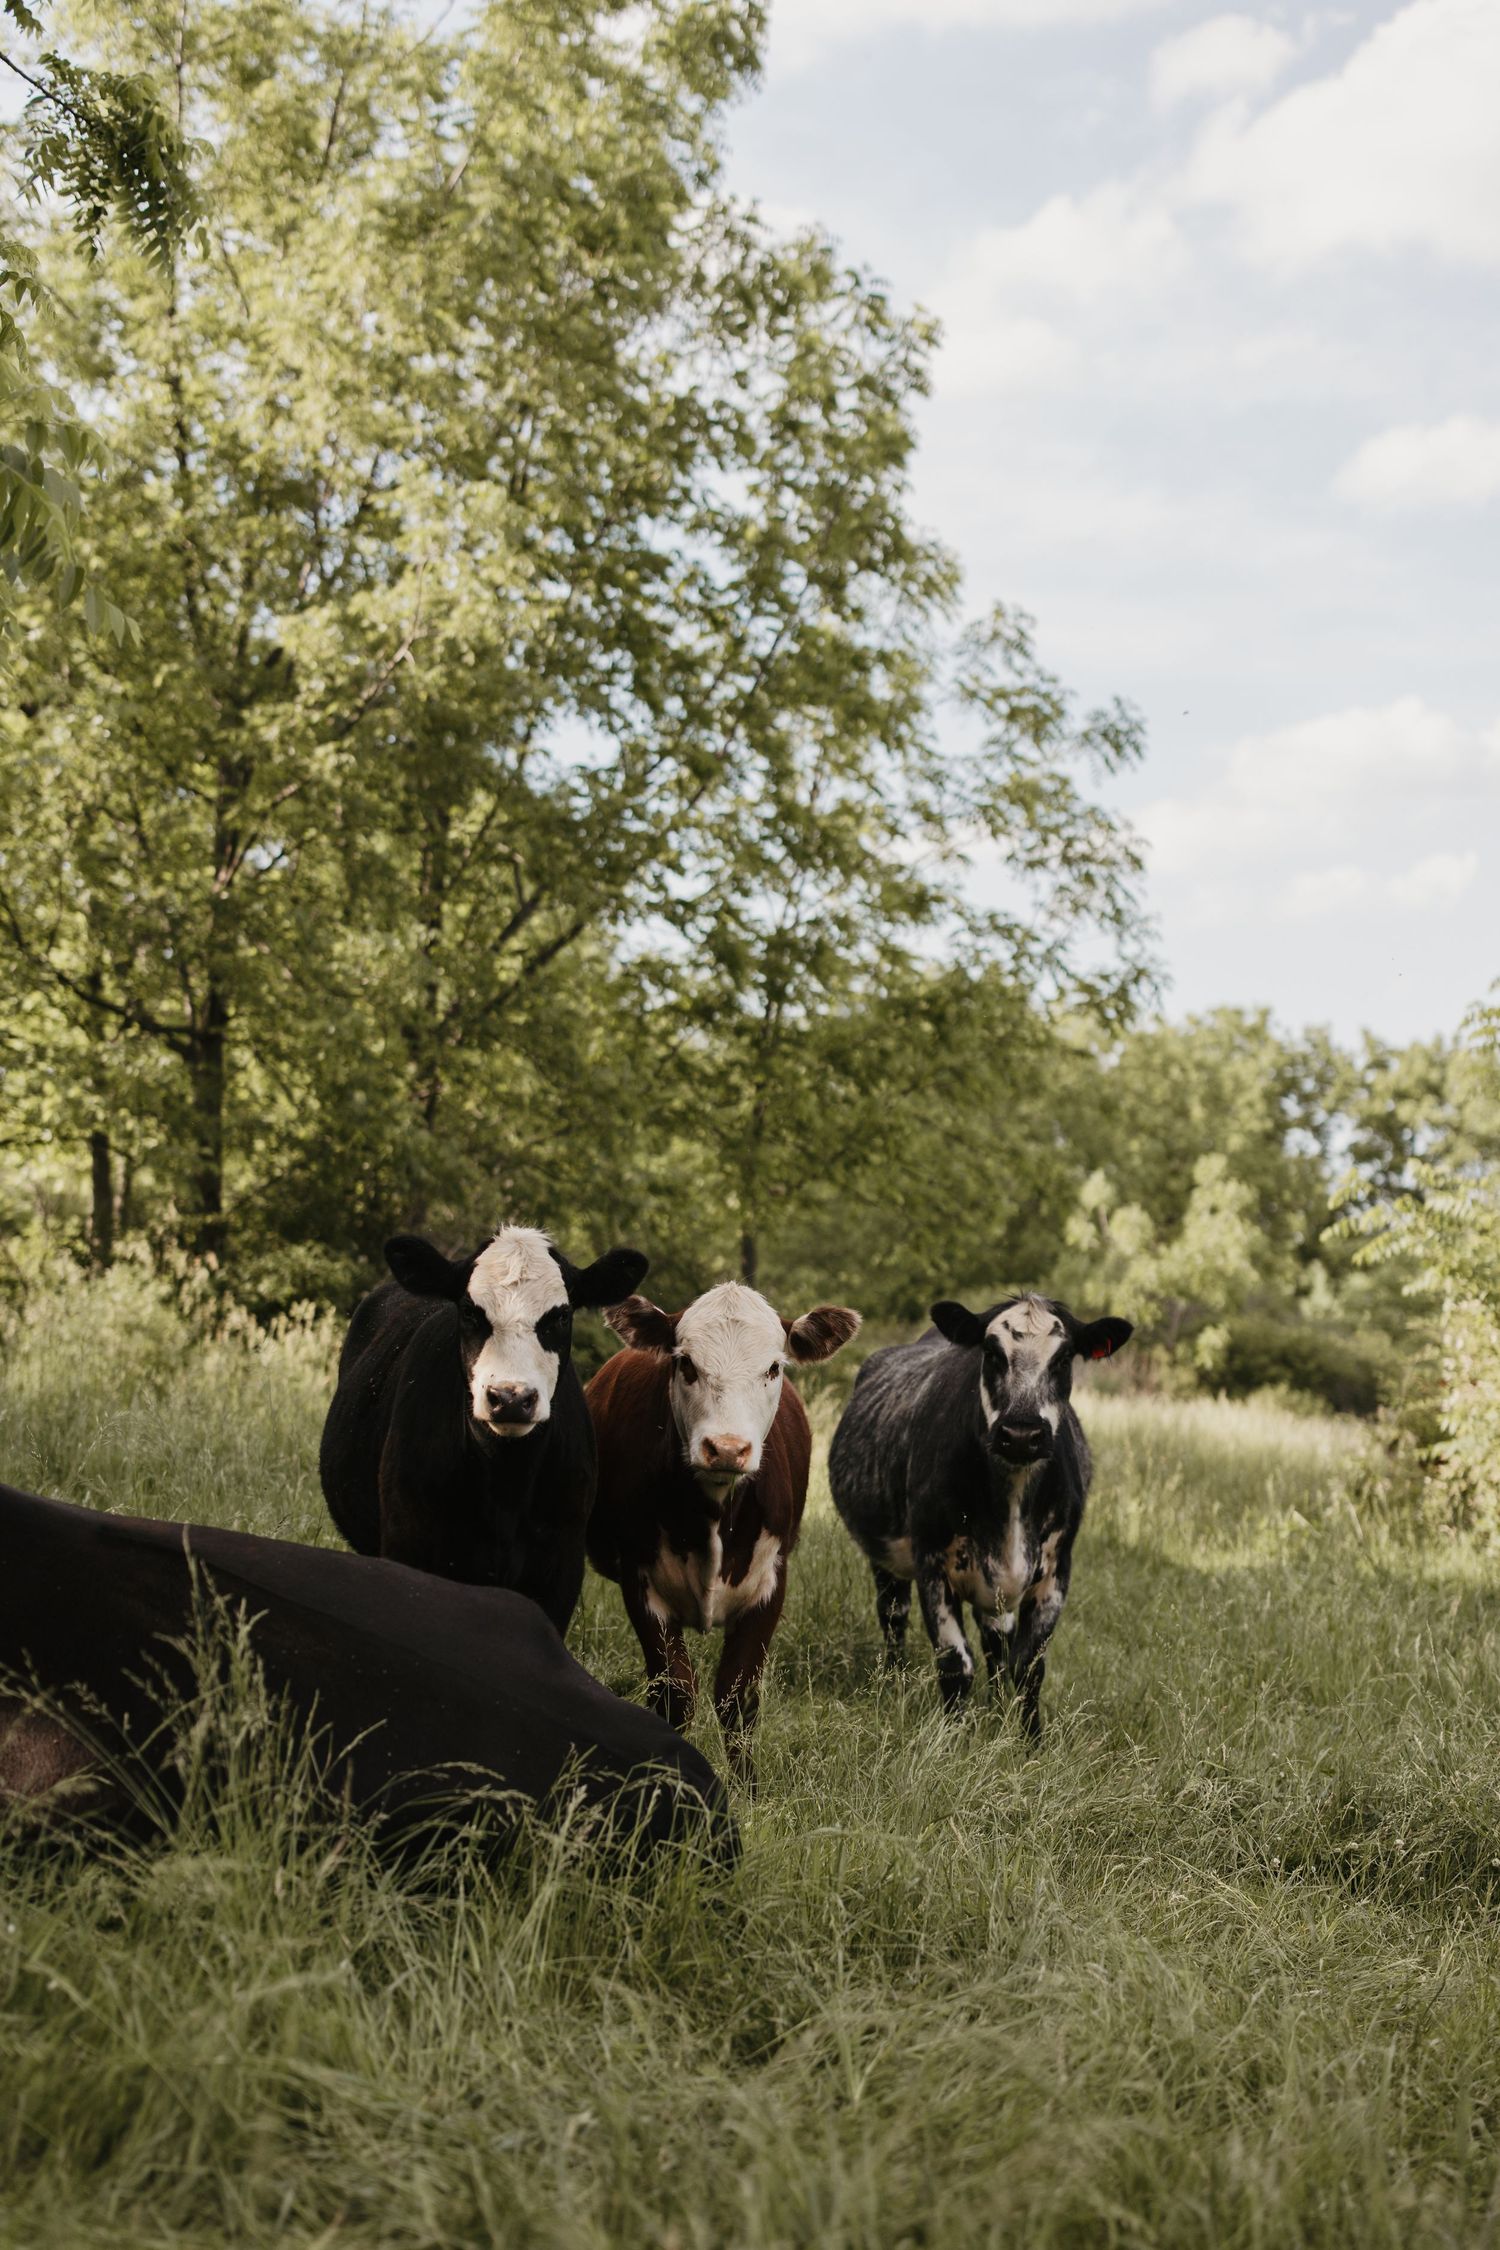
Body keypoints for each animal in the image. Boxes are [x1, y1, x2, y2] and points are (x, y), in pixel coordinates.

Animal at [319, 1226, 647, 1634]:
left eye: (561, 1315)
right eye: (469, 1311)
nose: (510, 1397)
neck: (505, 1485)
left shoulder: (560, 1565)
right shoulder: (406, 1543)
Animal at [585, 1282, 861, 1782]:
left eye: (773, 1367)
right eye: (686, 1364)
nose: (728, 1448)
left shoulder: (771, 1583)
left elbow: (738, 1694)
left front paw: (747, 1787)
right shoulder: (640, 1581)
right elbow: (674, 1692)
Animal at [827, 1293, 1132, 1737]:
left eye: (1063, 1358)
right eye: (991, 1353)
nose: (1021, 1434)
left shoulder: (1057, 1571)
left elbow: (1028, 1666)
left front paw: (1029, 1740)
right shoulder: (932, 1563)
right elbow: (956, 1662)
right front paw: (952, 1738)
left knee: (996, 1641)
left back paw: (998, 1705)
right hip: (885, 1556)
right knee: (893, 1615)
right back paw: (894, 1682)